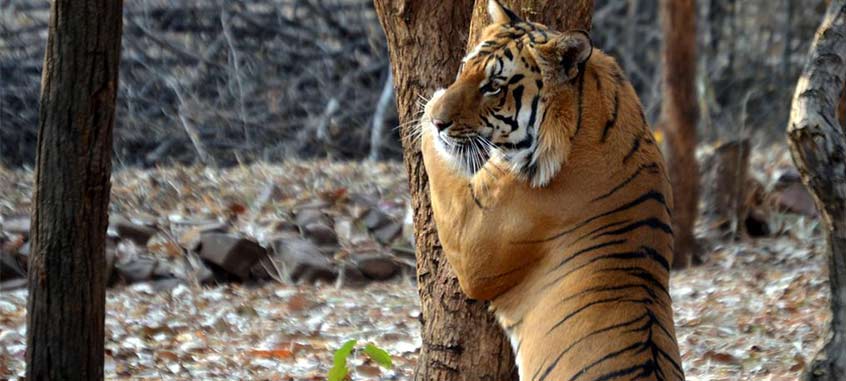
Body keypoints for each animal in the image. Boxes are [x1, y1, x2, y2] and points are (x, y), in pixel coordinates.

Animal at [420, 1, 684, 378]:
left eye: (493, 86)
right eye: (464, 67)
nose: (439, 121)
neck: (589, 109)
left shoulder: (471, 236)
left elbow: (438, 160)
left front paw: (430, 105)